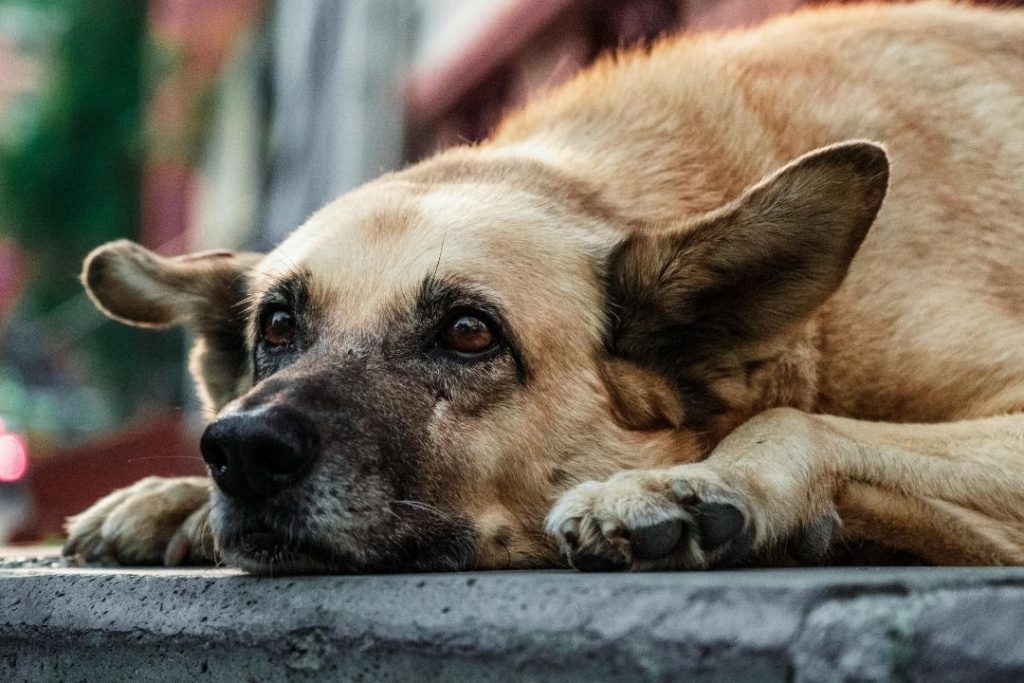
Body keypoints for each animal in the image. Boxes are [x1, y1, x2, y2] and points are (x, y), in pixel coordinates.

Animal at [61, 2, 1024, 573]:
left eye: (469, 331)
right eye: (277, 326)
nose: (241, 449)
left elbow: (791, 418)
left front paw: (698, 483)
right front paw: (173, 498)